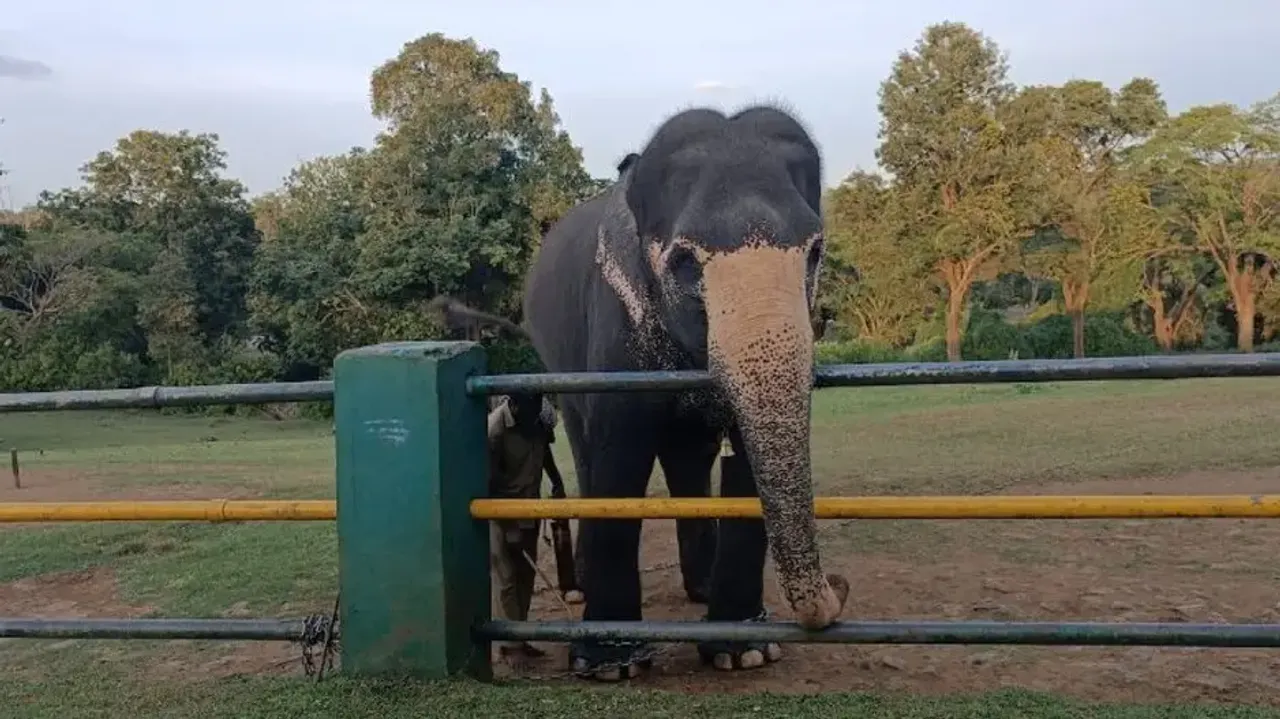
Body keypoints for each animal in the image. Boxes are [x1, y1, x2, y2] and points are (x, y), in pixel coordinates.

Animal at [521, 104, 850, 681]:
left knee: (689, 453)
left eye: (814, 253)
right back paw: (582, 592)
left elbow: (742, 461)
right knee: (587, 446)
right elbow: (621, 453)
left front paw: (744, 652)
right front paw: (610, 666)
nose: (838, 588)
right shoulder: (616, 317)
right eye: (685, 262)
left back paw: (702, 589)